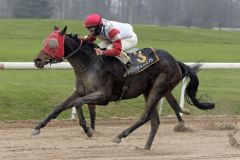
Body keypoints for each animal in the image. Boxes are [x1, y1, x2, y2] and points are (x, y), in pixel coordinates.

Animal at [31, 26, 214, 150]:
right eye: (45, 41)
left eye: (53, 43)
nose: (37, 60)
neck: (90, 63)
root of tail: (176, 62)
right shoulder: (81, 91)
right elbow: (61, 106)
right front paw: (37, 127)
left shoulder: (103, 96)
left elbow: (77, 103)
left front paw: (88, 130)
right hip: (149, 91)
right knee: (154, 121)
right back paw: (146, 147)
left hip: (159, 88)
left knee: (145, 116)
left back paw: (120, 136)